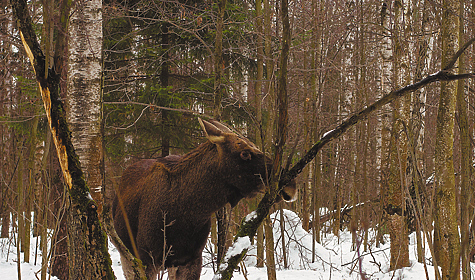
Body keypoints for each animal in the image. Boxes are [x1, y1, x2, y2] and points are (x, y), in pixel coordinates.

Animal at [113, 118, 296, 280]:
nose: (290, 184)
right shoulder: (146, 259)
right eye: (244, 153)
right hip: (127, 254)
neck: (185, 213)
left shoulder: (191, 259)